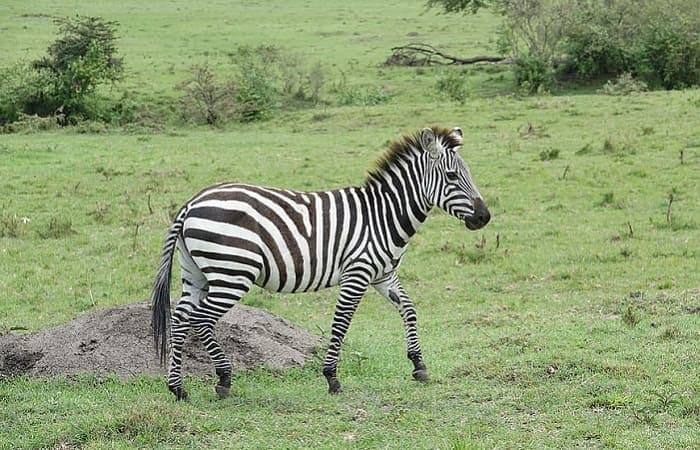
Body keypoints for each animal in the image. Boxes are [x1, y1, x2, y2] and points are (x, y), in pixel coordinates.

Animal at [151, 126, 490, 400]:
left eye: (469, 173)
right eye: (451, 176)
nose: (484, 218)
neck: (382, 215)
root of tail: (191, 203)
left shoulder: (383, 274)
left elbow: (408, 309)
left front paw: (418, 364)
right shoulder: (357, 273)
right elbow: (341, 324)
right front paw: (332, 378)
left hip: (197, 273)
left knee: (180, 319)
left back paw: (178, 388)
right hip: (232, 273)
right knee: (201, 319)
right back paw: (222, 379)